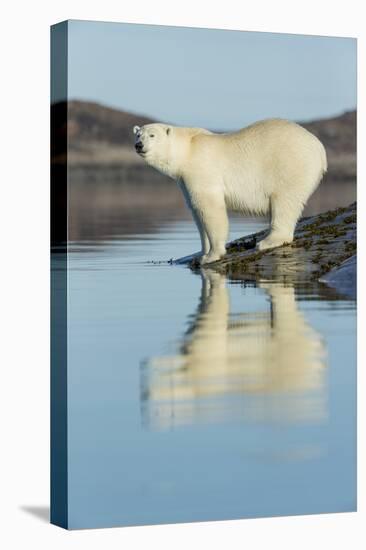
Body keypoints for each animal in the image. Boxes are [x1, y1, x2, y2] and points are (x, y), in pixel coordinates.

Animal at [133, 119, 328, 266]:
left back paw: (268, 241)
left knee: (284, 201)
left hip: (290, 164)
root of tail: (319, 148)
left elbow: (210, 209)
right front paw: (201, 253)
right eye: (138, 134)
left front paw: (212, 255)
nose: (139, 145)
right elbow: (197, 212)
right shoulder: (184, 180)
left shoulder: (202, 169)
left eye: (152, 135)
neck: (187, 150)